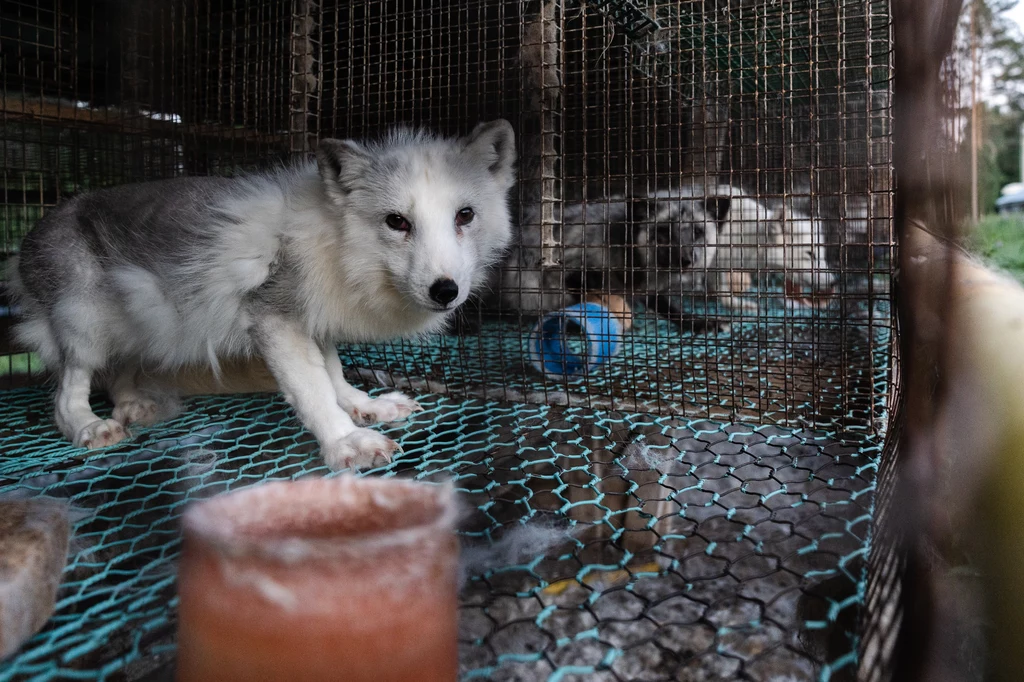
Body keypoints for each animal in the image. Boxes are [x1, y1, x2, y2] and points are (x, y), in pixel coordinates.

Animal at [9, 119, 520, 466]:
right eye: (397, 222)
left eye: (465, 215)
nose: (445, 290)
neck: (334, 241)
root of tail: (31, 233)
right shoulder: (274, 318)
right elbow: (312, 388)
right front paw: (344, 439)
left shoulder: (314, 317)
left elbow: (333, 373)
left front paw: (364, 405)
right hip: (86, 323)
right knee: (67, 392)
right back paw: (88, 425)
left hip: (142, 323)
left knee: (118, 373)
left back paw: (134, 404)